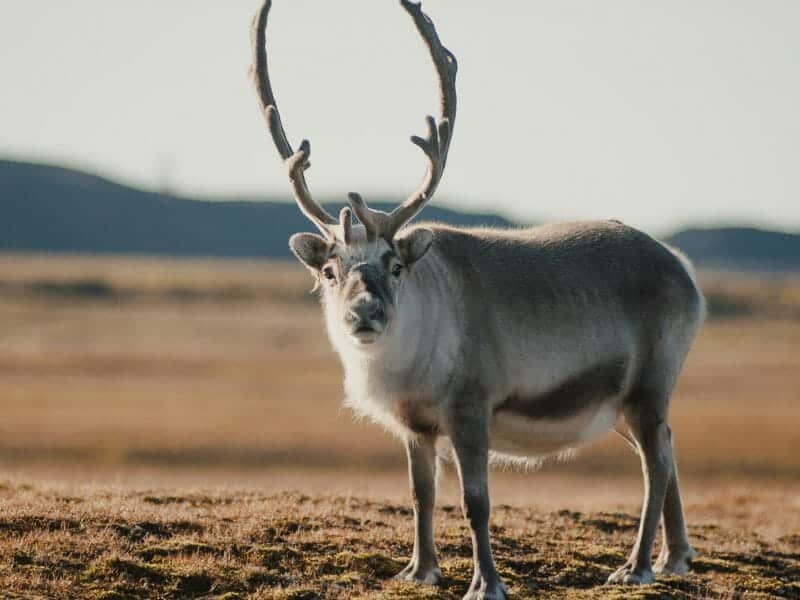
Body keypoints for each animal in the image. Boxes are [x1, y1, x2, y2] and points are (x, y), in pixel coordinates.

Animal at [251, 1, 704, 598]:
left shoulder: (470, 410)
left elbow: (475, 502)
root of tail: (682, 267)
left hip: (648, 389)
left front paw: (486, 583)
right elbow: (420, 496)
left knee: (656, 465)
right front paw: (419, 571)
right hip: (621, 409)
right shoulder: (415, 425)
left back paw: (637, 566)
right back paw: (676, 557)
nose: (364, 314)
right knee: (670, 451)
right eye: (330, 270)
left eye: (395, 265)